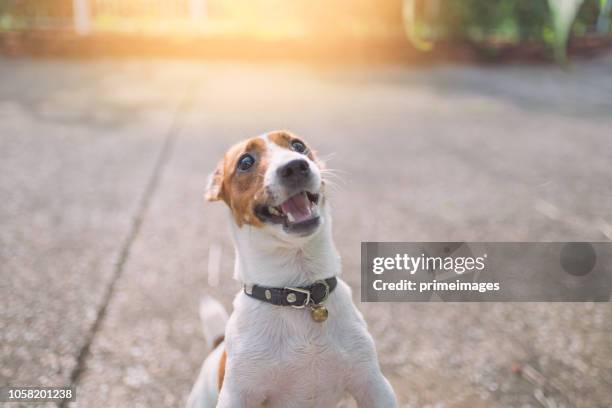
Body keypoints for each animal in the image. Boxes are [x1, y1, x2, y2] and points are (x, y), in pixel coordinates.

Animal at [186, 131, 396, 408]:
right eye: (245, 161)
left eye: (298, 145)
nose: (295, 166)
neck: (297, 291)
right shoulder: (237, 395)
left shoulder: (373, 384)